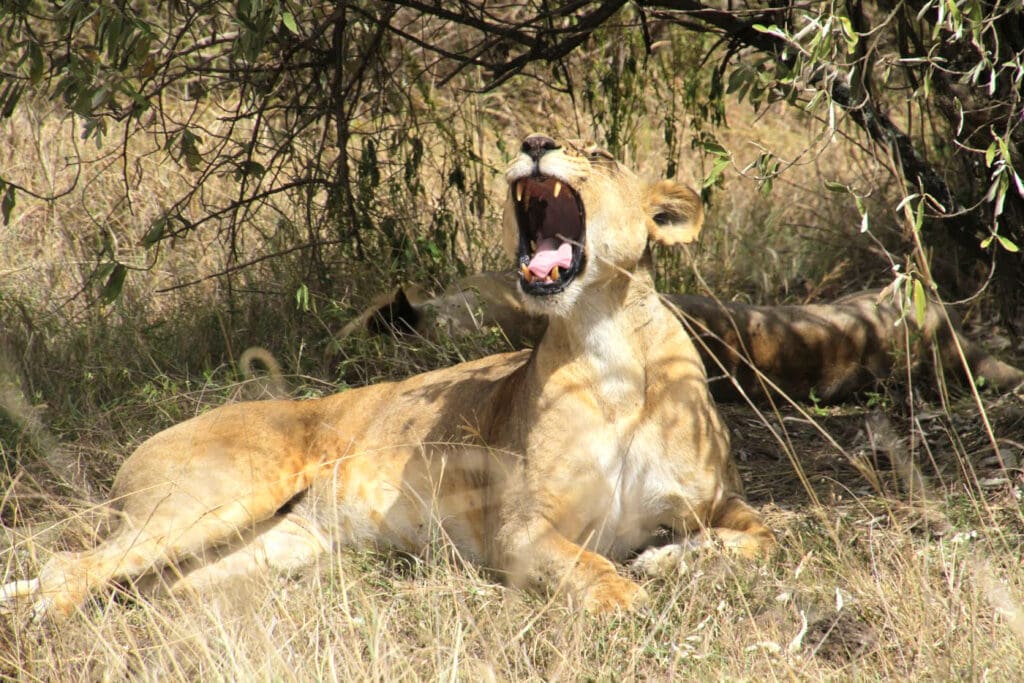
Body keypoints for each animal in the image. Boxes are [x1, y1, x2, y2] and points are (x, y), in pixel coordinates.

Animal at [1, 135, 772, 620]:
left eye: (602, 155)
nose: (533, 141)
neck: (608, 340)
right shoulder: (520, 530)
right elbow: (589, 567)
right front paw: (627, 595)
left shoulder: (719, 499)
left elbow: (762, 537)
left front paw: (665, 561)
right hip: (215, 499)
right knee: (71, 565)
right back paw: (49, 619)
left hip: (257, 555)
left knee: (135, 584)